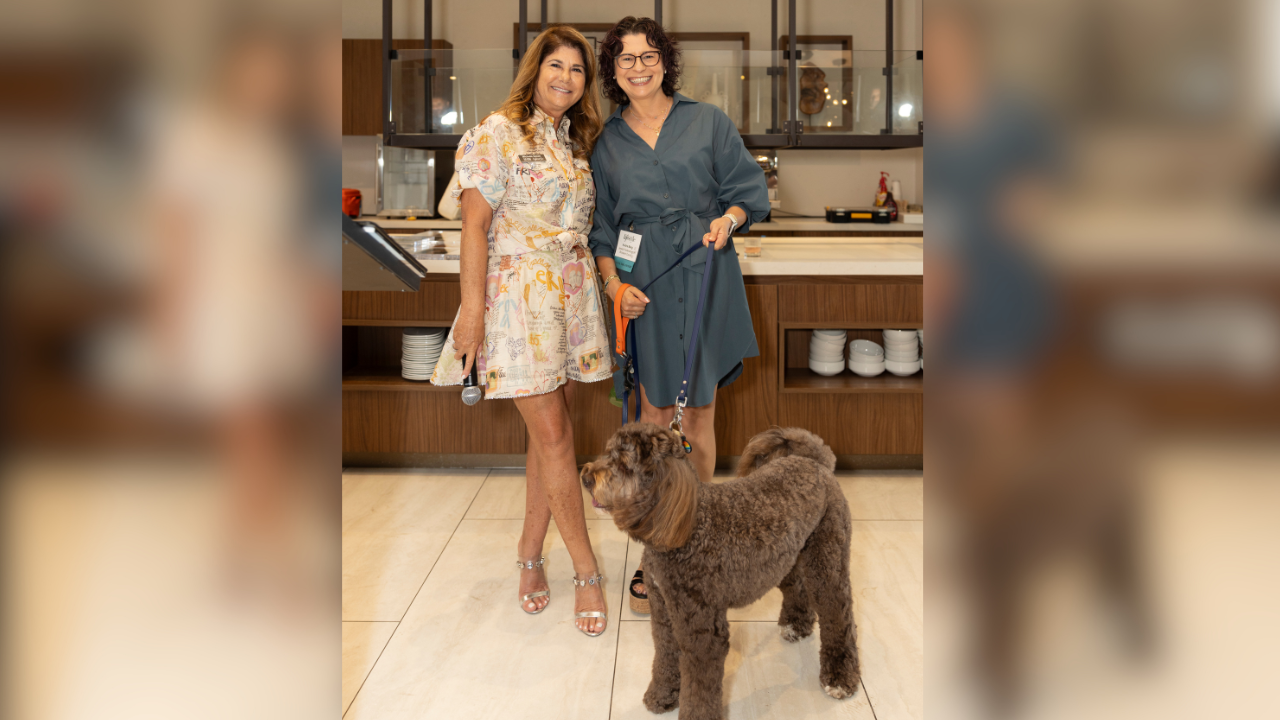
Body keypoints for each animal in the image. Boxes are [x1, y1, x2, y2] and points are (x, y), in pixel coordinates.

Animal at [581, 424, 859, 719]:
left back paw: (840, 678)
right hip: (786, 558)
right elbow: (665, 655)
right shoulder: (663, 613)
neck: (688, 527)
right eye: (608, 452)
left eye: (624, 463)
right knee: (797, 586)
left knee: (838, 614)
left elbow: (700, 688)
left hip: (828, 560)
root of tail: (815, 460)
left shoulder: (702, 628)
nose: (585, 477)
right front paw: (663, 695)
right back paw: (796, 625)